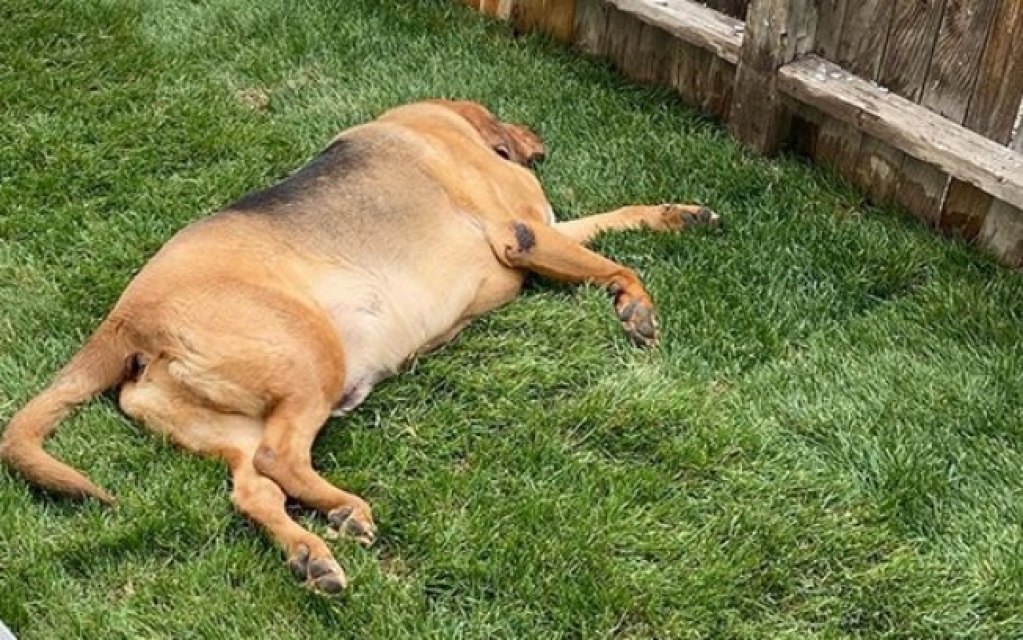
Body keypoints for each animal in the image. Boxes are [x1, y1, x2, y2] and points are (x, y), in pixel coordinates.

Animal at [1, 99, 720, 592]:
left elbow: (616, 219)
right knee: (281, 459)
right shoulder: (526, 234)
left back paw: (311, 554)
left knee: (254, 488)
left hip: (223, 425)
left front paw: (679, 215)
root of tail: (126, 319)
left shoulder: (549, 232)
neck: (444, 123)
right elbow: (618, 263)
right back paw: (345, 510)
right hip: (311, 356)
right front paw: (636, 308)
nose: (537, 137)